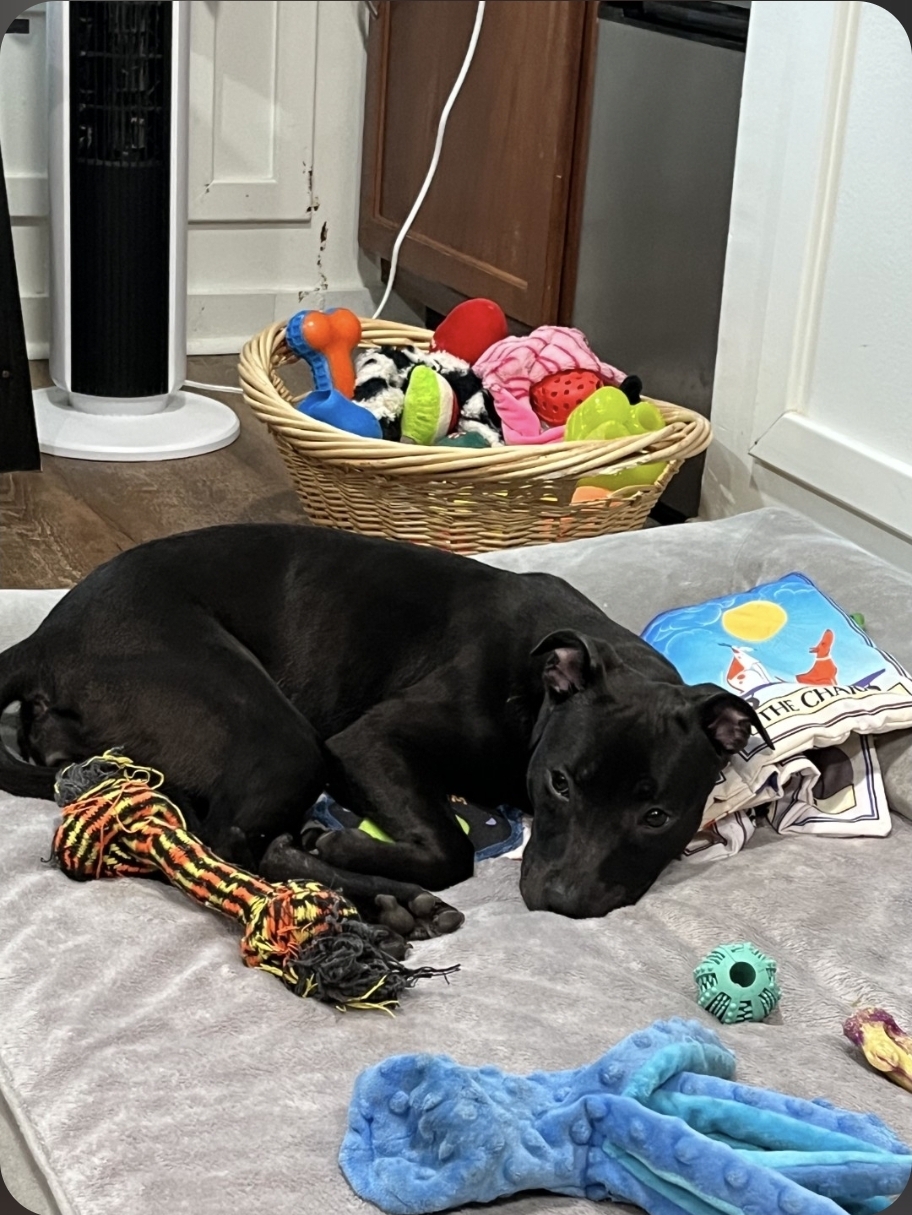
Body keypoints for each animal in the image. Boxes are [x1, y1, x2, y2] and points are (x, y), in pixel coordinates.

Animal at [0, 524, 769, 946]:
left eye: (657, 815)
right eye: (560, 783)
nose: (563, 902)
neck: (537, 689)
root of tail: (43, 638)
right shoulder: (368, 742)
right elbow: (452, 847)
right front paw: (344, 845)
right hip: (281, 735)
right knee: (225, 845)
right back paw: (376, 902)